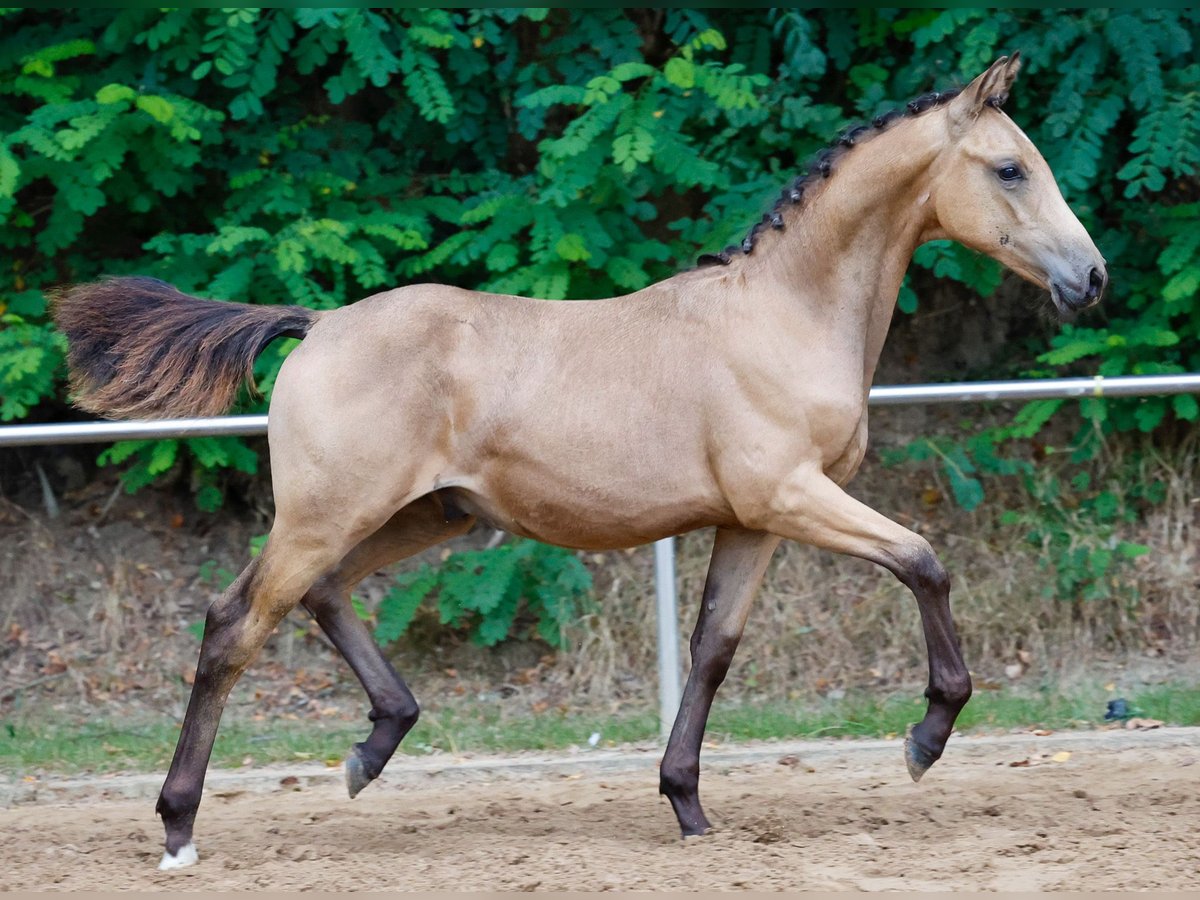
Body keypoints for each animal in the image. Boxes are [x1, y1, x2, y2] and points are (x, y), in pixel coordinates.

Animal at [54, 52, 1104, 868]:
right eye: (1010, 168)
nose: (1090, 279)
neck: (785, 314)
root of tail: (317, 326)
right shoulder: (793, 496)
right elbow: (925, 561)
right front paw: (926, 736)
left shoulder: (752, 521)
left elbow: (713, 650)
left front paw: (687, 805)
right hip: (328, 515)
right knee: (234, 626)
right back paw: (180, 828)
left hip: (421, 514)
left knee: (321, 596)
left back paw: (372, 748)